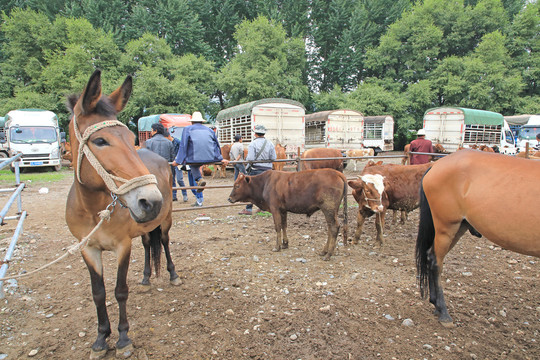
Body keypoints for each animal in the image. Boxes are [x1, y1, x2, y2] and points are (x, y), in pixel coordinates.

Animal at [65, 69, 179, 358]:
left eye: (130, 139)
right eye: (100, 141)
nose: (151, 201)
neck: (93, 210)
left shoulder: (122, 246)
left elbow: (119, 291)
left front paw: (124, 338)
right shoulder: (87, 249)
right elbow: (98, 293)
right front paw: (100, 339)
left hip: (165, 222)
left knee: (163, 243)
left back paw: (172, 275)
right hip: (145, 226)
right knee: (149, 245)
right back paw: (147, 278)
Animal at [418, 150, 540, 324]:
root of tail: (435, 165)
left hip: (459, 227)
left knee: (430, 256)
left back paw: (436, 304)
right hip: (446, 226)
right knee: (435, 262)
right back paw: (443, 311)